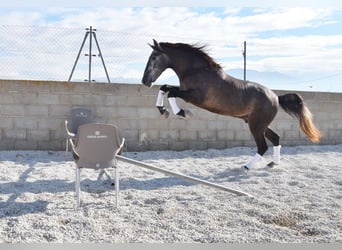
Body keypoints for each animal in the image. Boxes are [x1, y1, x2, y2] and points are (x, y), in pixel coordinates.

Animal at [141, 39, 320, 170]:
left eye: (154, 57)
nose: (145, 81)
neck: (197, 71)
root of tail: (276, 97)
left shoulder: (195, 97)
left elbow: (171, 92)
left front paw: (182, 113)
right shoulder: (185, 92)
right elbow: (165, 88)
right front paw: (163, 111)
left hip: (256, 125)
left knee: (263, 146)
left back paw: (247, 167)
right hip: (258, 123)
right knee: (275, 138)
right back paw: (272, 164)